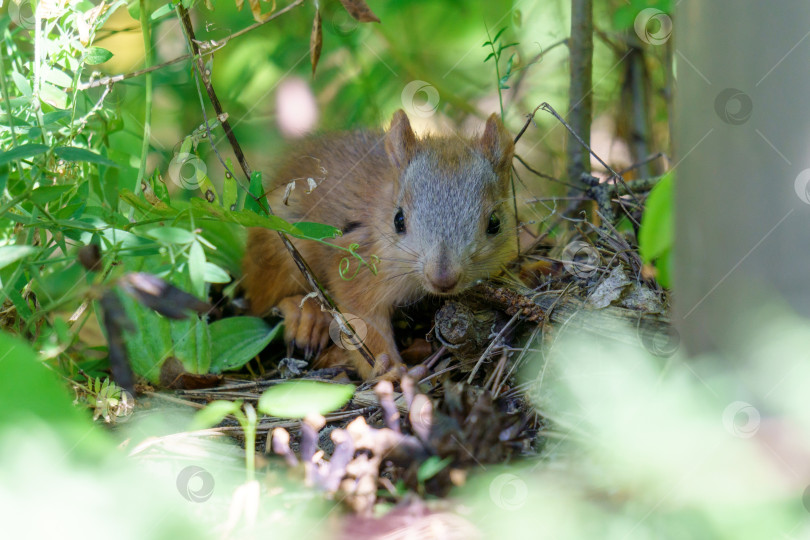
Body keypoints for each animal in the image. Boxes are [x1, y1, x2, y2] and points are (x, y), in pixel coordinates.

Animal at [243, 109, 516, 380]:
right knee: (261, 302)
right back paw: (305, 314)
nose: (443, 279)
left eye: (495, 223)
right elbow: (364, 322)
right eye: (398, 220)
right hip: (279, 248)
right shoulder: (359, 266)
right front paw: (392, 371)